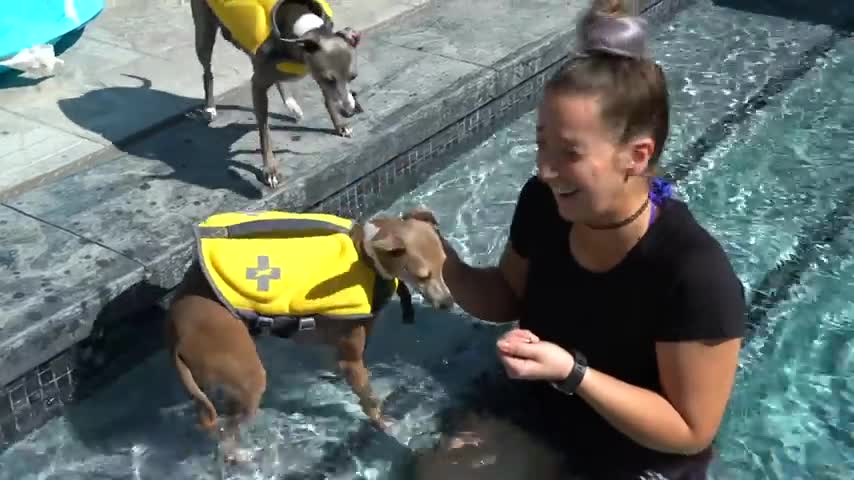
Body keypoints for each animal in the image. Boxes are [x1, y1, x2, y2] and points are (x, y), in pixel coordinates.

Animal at [163, 208, 452, 464]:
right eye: (422, 275)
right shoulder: (351, 358)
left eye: (444, 264)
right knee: (226, 433)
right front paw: (384, 424)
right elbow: (370, 400)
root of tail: (176, 334)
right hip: (247, 378)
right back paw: (238, 456)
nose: (449, 303)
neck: (366, 254)